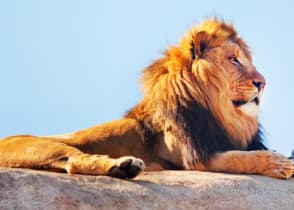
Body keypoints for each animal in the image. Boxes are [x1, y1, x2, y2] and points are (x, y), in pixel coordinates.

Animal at [0, 18, 294, 179]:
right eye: (234, 60)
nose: (262, 83)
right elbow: (240, 158)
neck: (222, 112)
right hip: (43, 147)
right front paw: (278, 164)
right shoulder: (194, 158)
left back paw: (125, 168)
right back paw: (124, 165)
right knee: (73, 161)